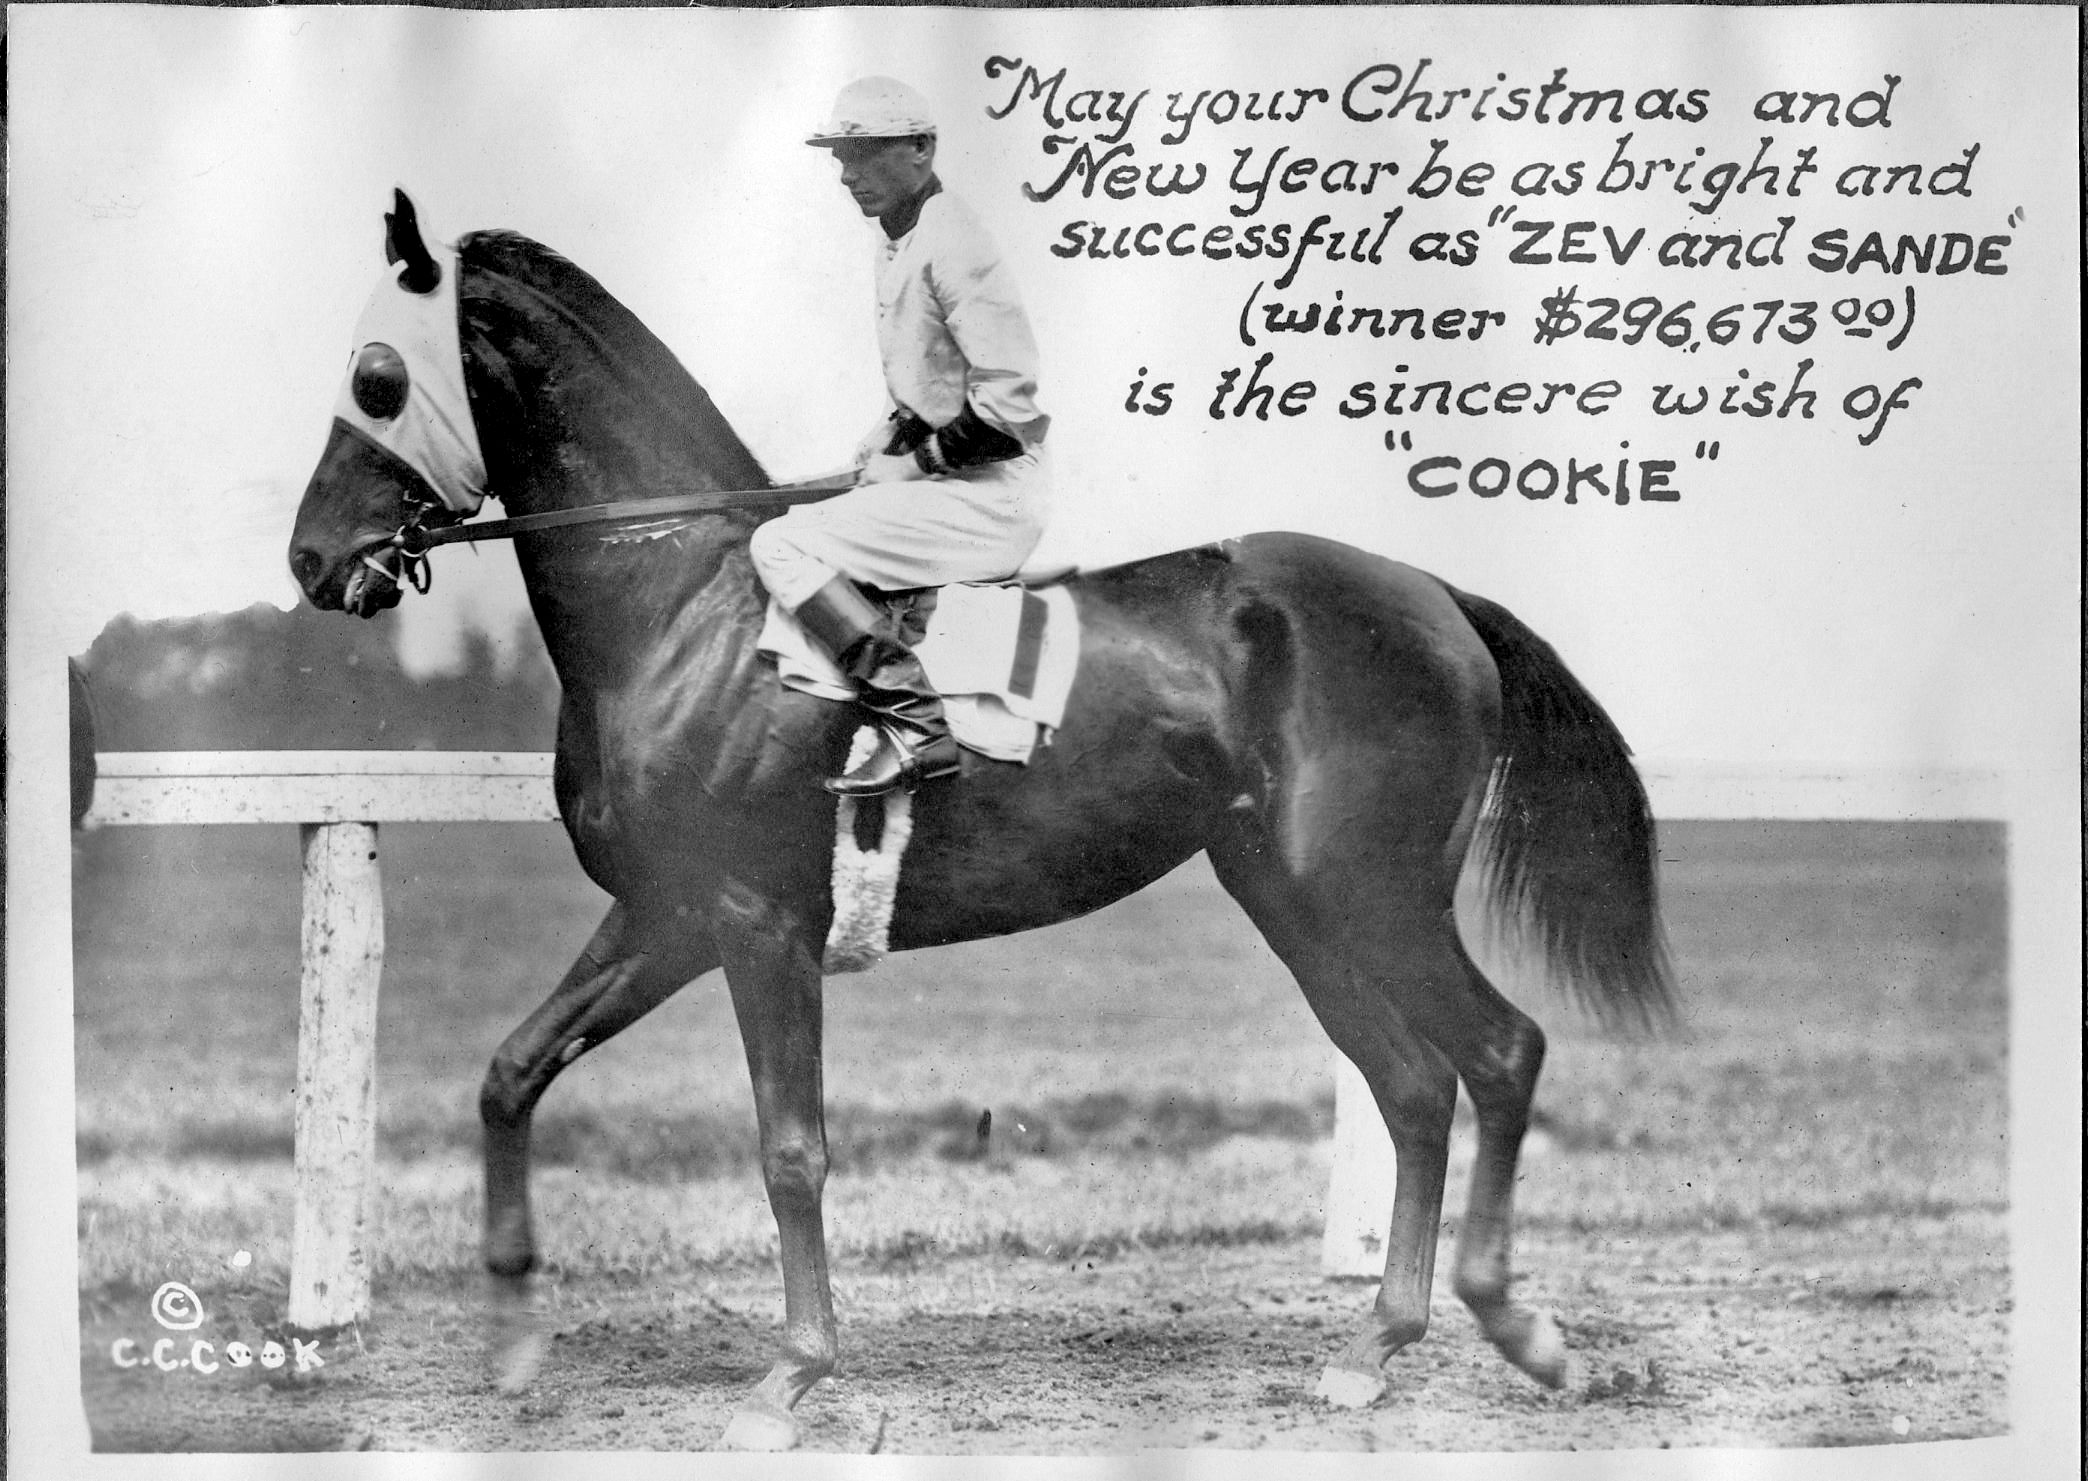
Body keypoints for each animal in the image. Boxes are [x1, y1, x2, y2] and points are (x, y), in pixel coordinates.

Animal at [286, 191, 1670, 1453]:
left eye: (374, 373)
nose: (313, 558)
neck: (690, 608)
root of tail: (1435, 592)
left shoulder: (754, 922)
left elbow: (791, 1148)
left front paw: (794, 1373)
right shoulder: (668, 912)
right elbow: (512, 1072)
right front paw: (515, 1339)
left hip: (1371, 892)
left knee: (1499, 1051)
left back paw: (1523, 1330)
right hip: (1290, 896)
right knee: (1415, 1083)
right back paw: (1375, 1347)